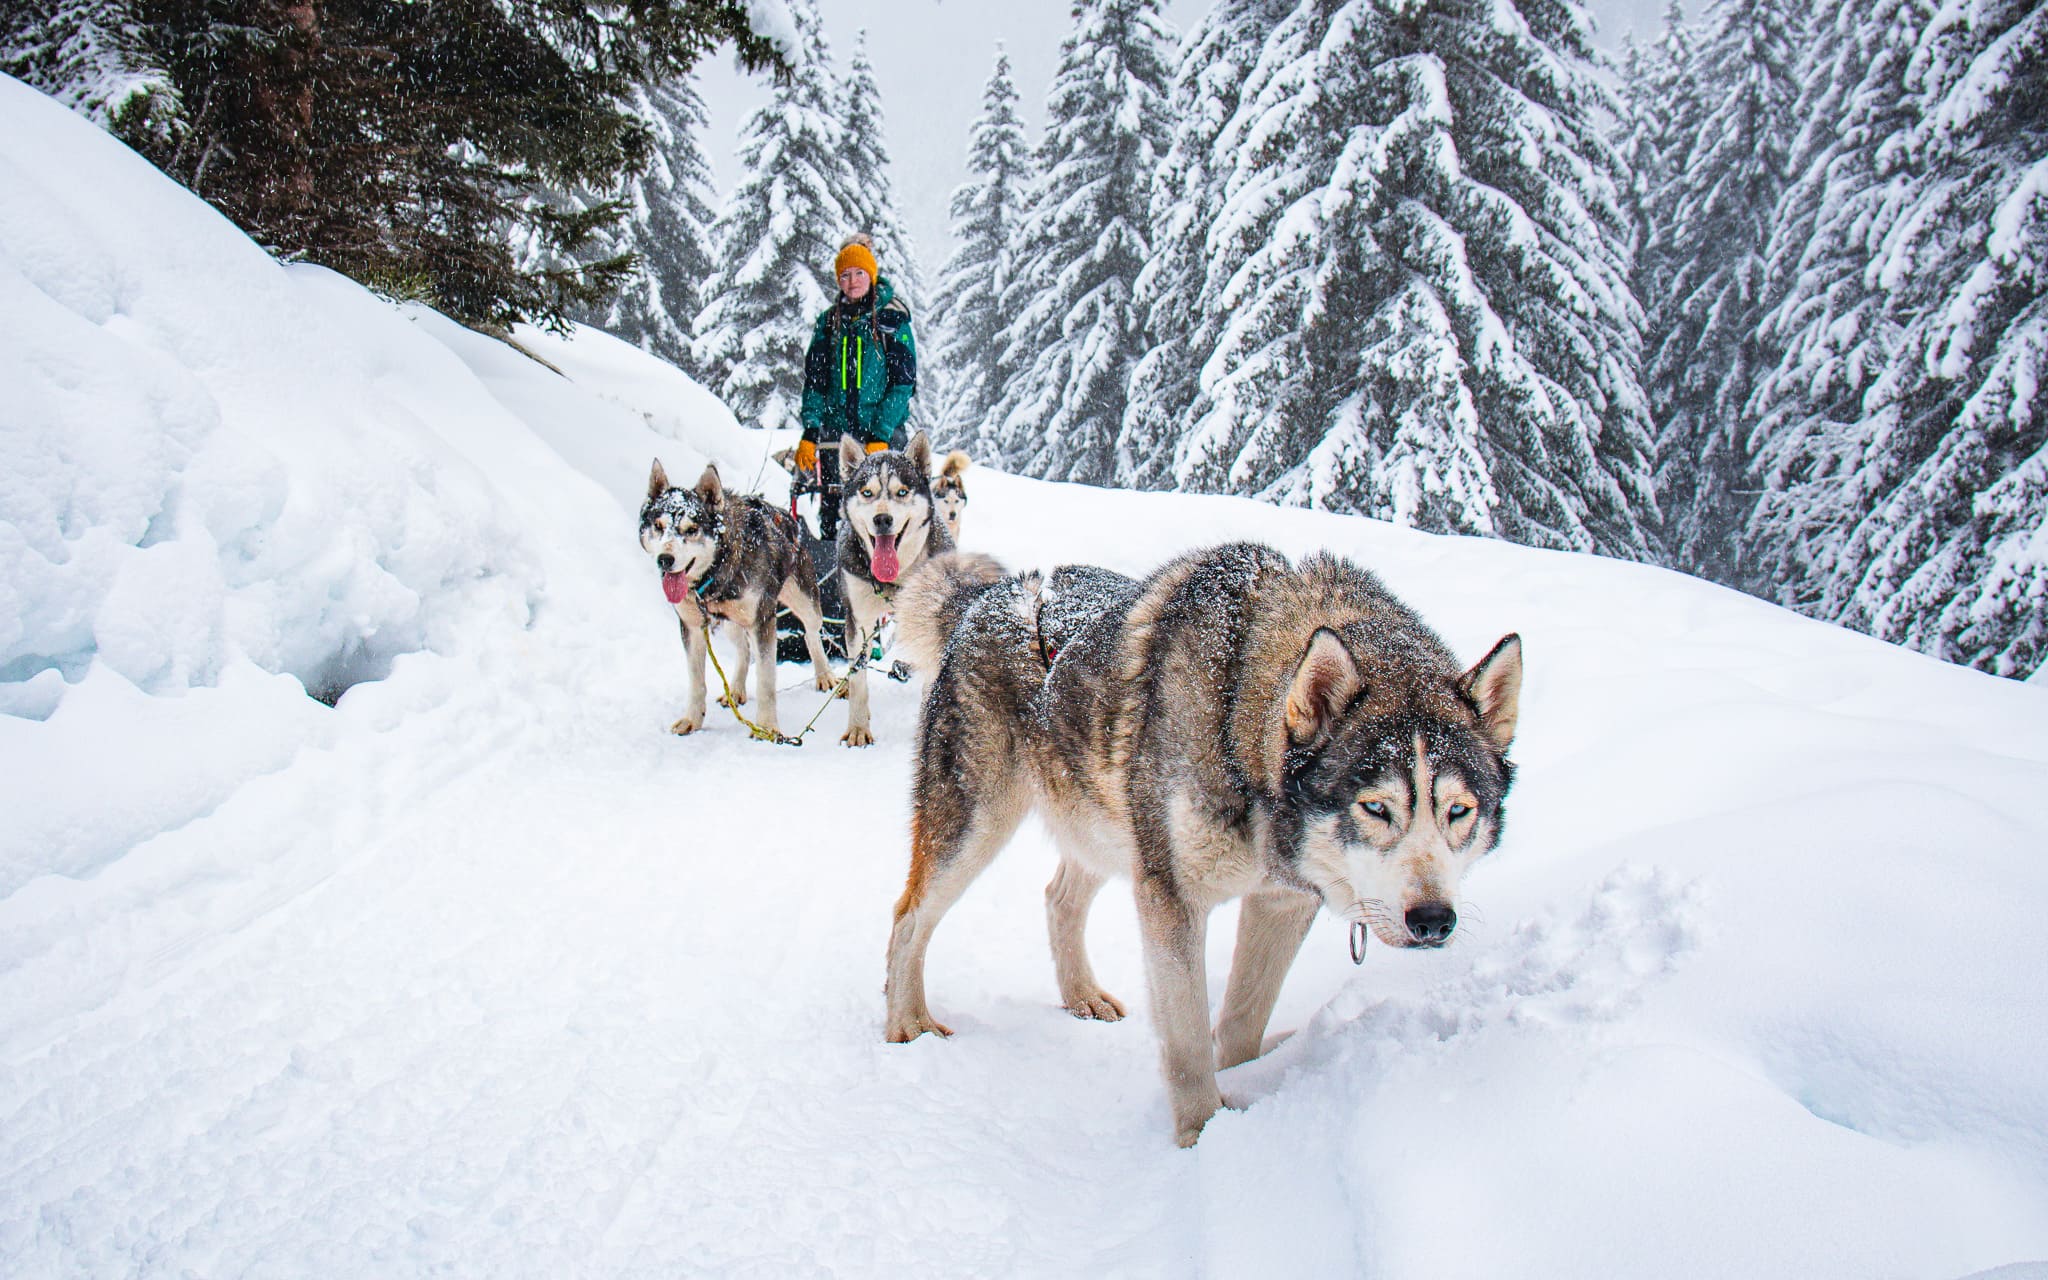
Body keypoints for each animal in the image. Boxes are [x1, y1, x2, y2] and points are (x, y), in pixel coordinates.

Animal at [638, 458, 831, 737]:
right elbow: (696, 681)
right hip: (732, 624)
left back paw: (825, 675)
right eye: (658, 526)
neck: (715, 574)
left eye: (692, 529)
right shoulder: (692, 627)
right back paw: (736, 690)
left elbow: (766, 680)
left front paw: (767, 727)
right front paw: (692, 719)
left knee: (812, 634)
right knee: (744, 650)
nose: (665, 559)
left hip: (805, 603)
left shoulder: (763, 621)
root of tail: (787, 518)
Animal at [835, 434, 954, 745]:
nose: (882, 519)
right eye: (867, 492)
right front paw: (858, 728)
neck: (895, 578)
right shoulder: (859, 619)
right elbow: (859, 678)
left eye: (902, 491)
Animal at [880, 544, 1523, 1146]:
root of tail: (986, 598)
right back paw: (907, 1020)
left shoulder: (1283, 901)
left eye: (1459, 812)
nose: (1434, 919)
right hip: (978, 827)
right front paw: (1202, 1137)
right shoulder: (1172, 899)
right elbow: (1187, 1041)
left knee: (1059, 899)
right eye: (1375, 808)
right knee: (910, 917)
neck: (1238, 721)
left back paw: (1081, 995)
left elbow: (1242, 1019)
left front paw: (1241, 1087)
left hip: (1108, 829)